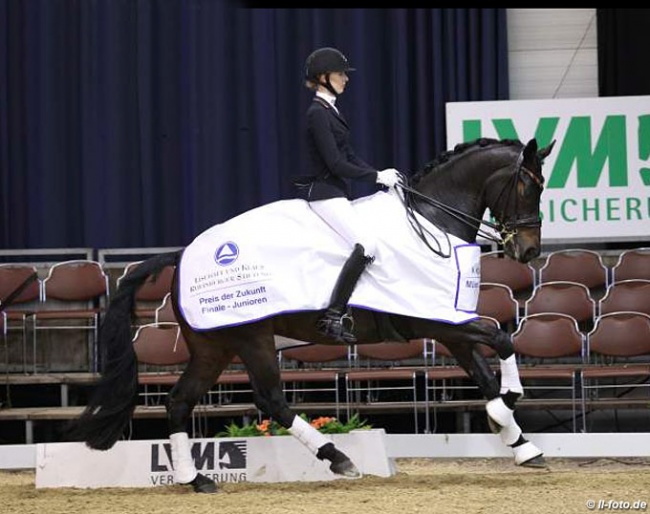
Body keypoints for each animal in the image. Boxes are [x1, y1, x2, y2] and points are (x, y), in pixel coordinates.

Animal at [68, 137, 552, 492]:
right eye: (529, 186)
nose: (528, 251)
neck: (431, 222)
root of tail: (182, 254)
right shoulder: (432, 320)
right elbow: (502, 338)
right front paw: (510, 404)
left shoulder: (449, 324)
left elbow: (486, 371)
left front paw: (520, 443)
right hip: (251, 338)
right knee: (272, 400)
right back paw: (338, 458)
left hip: (214, 346)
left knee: (180, 400)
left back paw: (197, 480)